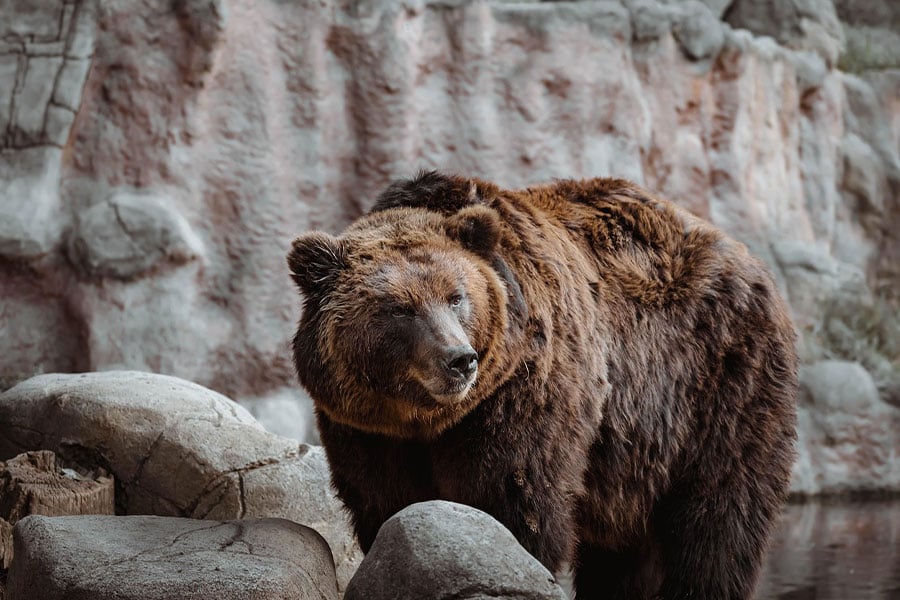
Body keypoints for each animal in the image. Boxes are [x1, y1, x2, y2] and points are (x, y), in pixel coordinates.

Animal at [287, 171, 798, 599]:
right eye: (398, 308)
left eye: (456, 297)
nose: (460, 360)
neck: (426, 419)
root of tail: (749, 259)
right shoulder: (367, 430)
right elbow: (386, 503)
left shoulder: (522, 392)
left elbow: (515, 498)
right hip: (638, 456)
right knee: (625, 550)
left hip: (718, 385)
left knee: (719, 517)